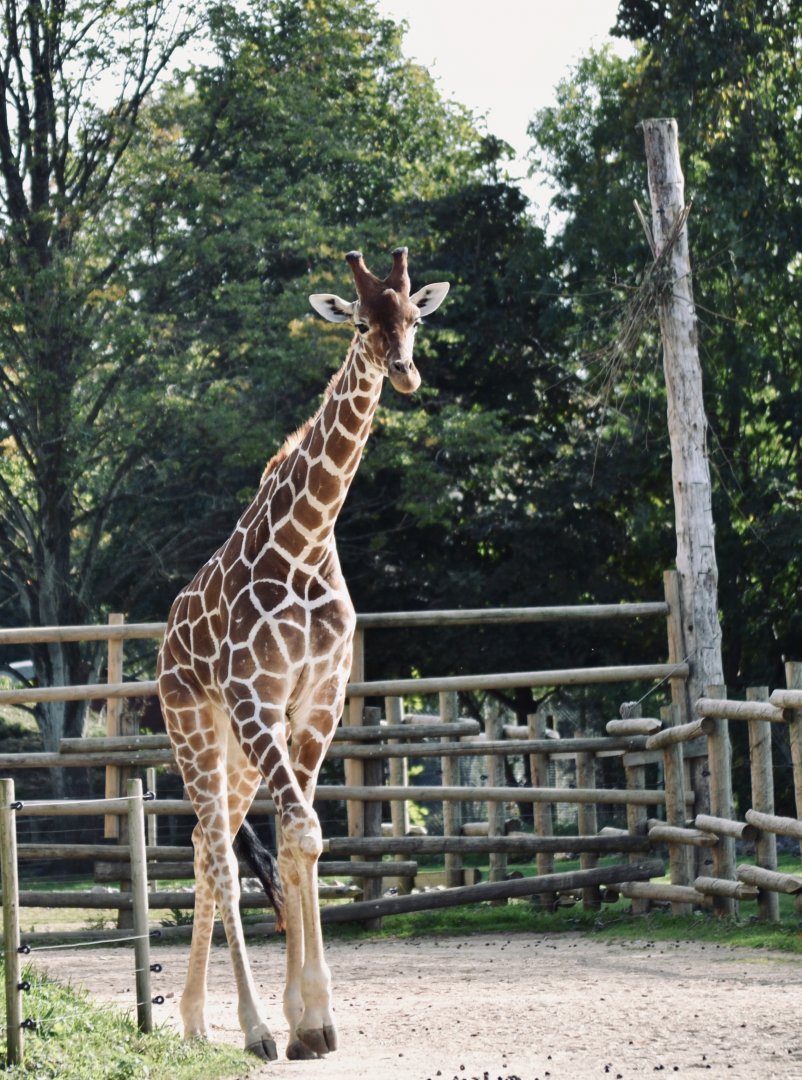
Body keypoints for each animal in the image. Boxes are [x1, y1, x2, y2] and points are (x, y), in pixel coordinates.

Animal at [156, 247, 450, 1061]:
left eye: (413, 317)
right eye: (359, 323)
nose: (405, 373)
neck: (308, 539)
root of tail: (162, 646)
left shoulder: (317, 702)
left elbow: (304, 839)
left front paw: (312, 1021)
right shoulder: (258, 696)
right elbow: (298, 834)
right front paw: (298, 1021)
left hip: (236, 755)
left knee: (208, 844)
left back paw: (196, 1021)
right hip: (196, 726)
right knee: (219, 854)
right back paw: (250, 1029)